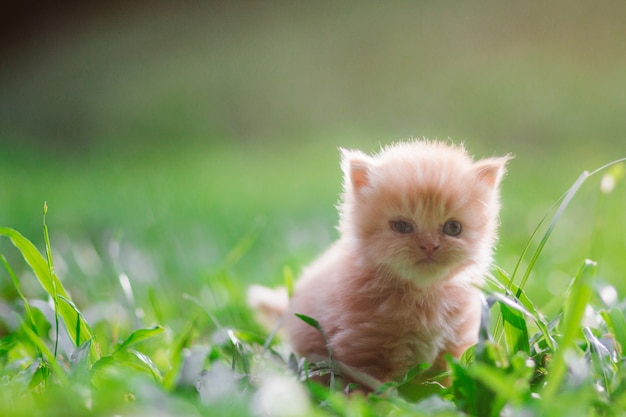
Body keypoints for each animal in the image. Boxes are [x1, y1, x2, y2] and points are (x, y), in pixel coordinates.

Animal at [249, 140, 508, 390]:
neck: (423, 296)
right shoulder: (365, 351)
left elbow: (440, 387)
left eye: (452, 228)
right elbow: (371, 393)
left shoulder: (453, 346)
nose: (429, 245)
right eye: (402, 227)